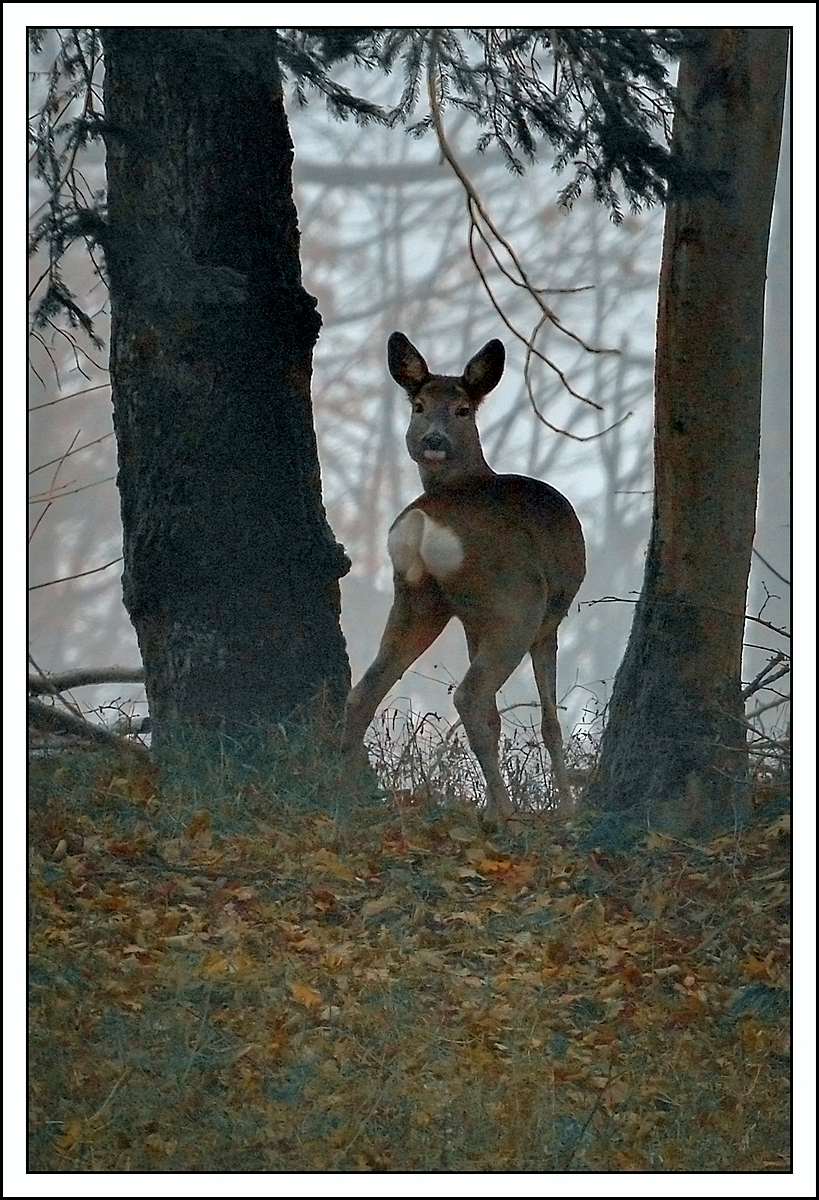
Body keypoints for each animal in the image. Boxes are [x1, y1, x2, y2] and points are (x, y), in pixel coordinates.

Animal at [341, 338, 583, 820]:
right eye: (418, 406)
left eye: (461, 409)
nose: (433, 439)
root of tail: (424, 521)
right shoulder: (550, 619)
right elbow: (549, 718)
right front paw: (566, 807)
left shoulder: (474, 622)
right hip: (517, 602)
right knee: (470, 695)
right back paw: (505, 813)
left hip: (417, 597)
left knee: (365, 691)